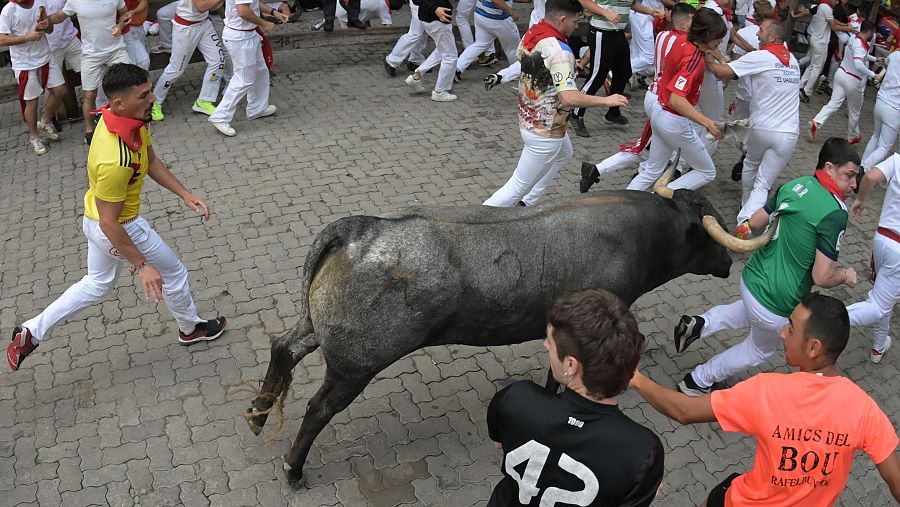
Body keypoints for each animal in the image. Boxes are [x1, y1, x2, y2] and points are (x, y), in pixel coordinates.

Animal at [244, 172, 772, 488]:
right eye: (709, 232)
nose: (728, 262)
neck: (637, 235)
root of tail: (358, 230)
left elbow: (556, 376)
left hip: (317, 330)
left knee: (283, 348)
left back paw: (256, 414)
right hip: (356, 363)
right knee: (317, 408)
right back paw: (292, 468)